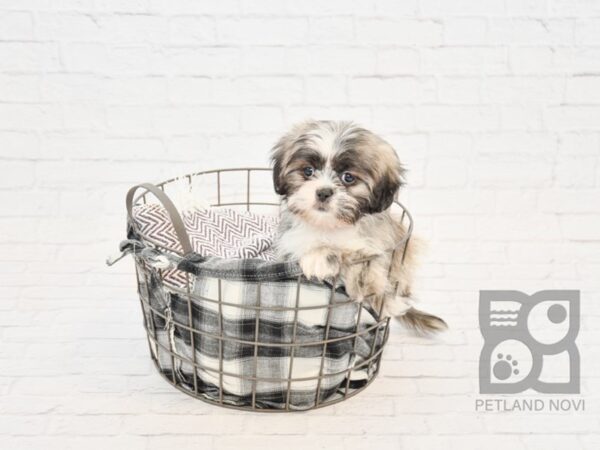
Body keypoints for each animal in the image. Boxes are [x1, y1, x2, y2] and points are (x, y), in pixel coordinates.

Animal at [272, 119, 446, 334]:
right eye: (308, 171)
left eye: (348, 177)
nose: (323, 192)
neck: (330, 226)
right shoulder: (290, 243)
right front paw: (319, 256)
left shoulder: (378, 245)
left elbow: (366, 261)